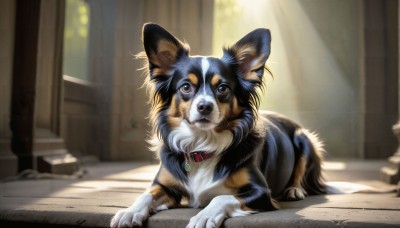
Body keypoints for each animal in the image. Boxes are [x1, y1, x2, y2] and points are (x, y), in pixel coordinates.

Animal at [109, 23, 324, 228]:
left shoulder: (261, 192)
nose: (204, 106)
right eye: (186, 87)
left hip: (305, 138)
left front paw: (204, 216)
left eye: (223, 88)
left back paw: (294, 190)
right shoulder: (164, 185)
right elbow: (146, 194)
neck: (202, 144)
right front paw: (129, 212)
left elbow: (221, 197)